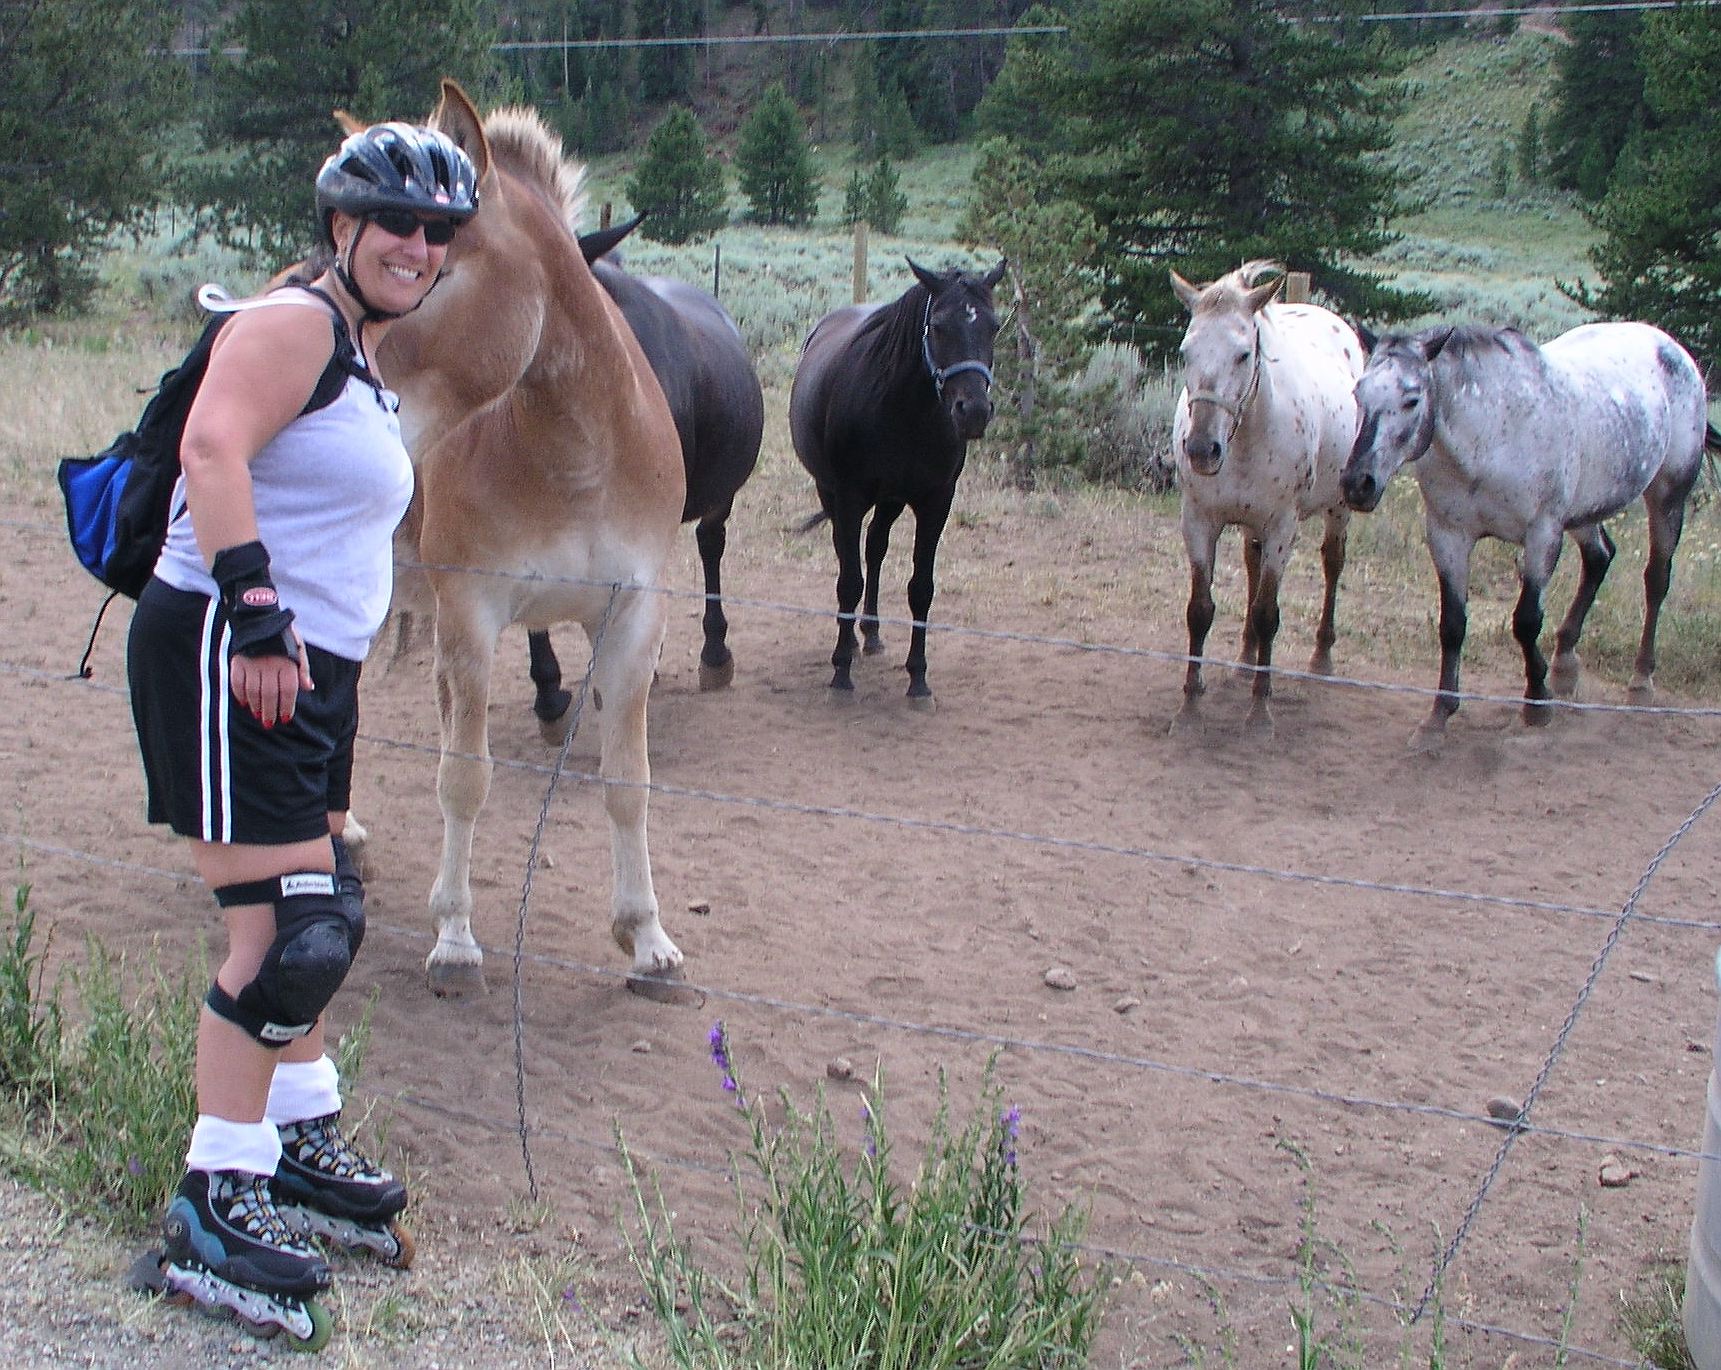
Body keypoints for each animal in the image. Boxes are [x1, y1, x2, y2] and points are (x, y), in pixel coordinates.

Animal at [374, 81, 687, 994]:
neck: (573, 450)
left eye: (430, 268)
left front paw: (645, 937)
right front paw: (454, 938)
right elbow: (464, 778)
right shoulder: (471, 616)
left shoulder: (631, 616)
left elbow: (627, 780)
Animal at [789, 257, 1007, 709]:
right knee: (849, 552)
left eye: (993, 326)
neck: (904, 411)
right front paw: (841, 672)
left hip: (891, 499)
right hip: (833, 493)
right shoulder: (850, 494)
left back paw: (870, 633)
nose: (974, 411)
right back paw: (854, 641)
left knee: (875, 547)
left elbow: (921, 588)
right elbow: (848, 580)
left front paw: (918, 680)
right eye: (938, 325)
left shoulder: (935, 501)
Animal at [1167, 261, 1367, 736]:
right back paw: (1244, 659)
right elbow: (1200, 610)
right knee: (1252, 564)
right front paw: (1189, 707)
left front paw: (1260, 713)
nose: (1200, 450)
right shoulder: (1198, 522)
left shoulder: (1281, 528)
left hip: (1337, 508)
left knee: (1333, 563)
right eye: (1185, 352)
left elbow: (1268, 614)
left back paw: (1321, 658)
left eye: (1243, 354)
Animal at [1339, 321, 1716, 754]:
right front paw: (1438, 716)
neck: (1490, 438)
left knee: (1656, 580)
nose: (1358, 484)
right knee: (1599, 558)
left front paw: (1537, 702)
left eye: (1412, 399)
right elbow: (1452, 625)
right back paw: (1565, 666)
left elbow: (1526, 621)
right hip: (1584, 511)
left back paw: (1640, 682)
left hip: (1667, 497)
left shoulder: (1542, 534)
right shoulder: (1448, 536)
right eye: (1358, 393)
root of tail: (1671, 348)